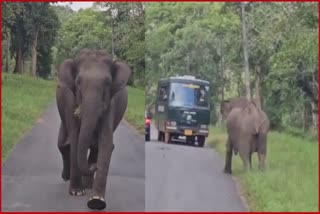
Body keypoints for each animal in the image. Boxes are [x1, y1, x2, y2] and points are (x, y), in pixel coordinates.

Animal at [56, 49, 131, 211]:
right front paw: (77, 192)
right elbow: (75, 139)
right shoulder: (71, 101)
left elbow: (106, 143)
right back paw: (67, 177)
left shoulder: (110, 104)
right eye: (78, 82)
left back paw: (88, 184)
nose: (94, 167)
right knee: (62, 144)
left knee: (95, 147)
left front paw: (96, 202)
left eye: (108, 83)